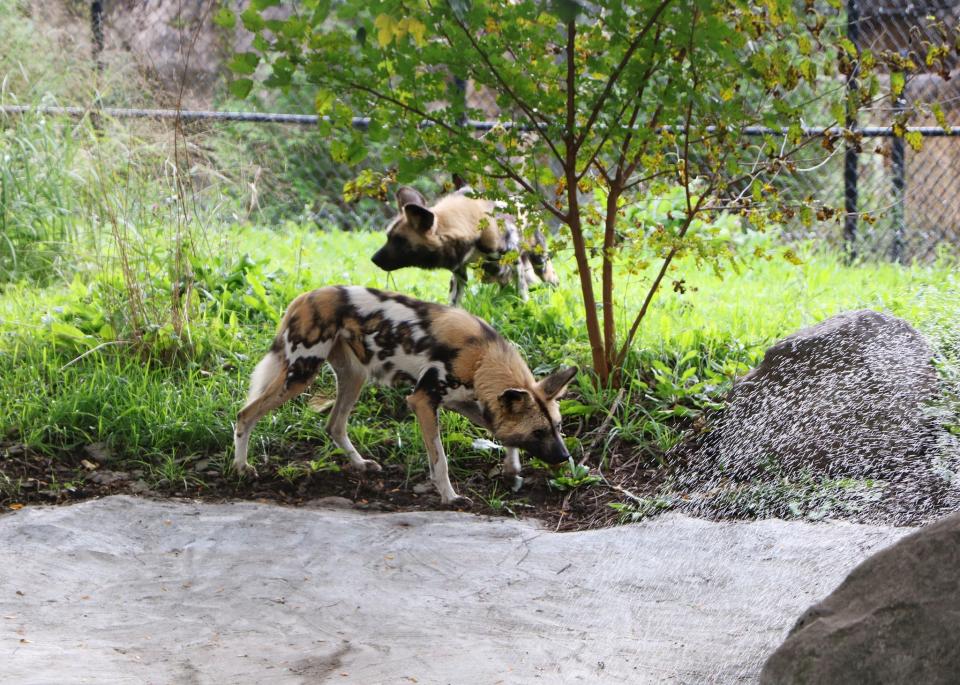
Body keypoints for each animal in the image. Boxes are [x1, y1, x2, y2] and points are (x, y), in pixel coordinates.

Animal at [232, 286, 576, 504]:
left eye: (557, 427)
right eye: (539, 432)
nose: (565, 457)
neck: (481, 358)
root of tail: (305, 296)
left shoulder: (467, 402)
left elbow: (501, 434)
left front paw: (513, 471)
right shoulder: (423, 401)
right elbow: (440, 460)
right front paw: (449, 496)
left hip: (353, 377)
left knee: (334, 425)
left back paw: (361, 464)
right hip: (300, 376)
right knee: (245, 414)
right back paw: (242, 469)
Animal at [372, 186, 560, 306]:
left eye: (399, 240)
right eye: (388, 237)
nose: (373, 259)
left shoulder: (512, 260)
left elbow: (522, 292)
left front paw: (525, 309)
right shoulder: (459, 273)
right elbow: (453, 303)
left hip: (539, 263)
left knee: (552, 281)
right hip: (494, 272)